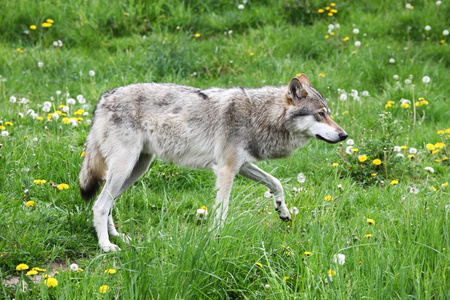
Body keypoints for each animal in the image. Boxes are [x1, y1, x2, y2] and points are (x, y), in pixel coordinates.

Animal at [79, 74, 350, 251]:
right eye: (321, 114)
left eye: (329, 113)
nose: (344, 135)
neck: (258, 116)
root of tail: (102, 100)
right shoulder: (226, 170)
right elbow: (221, 212)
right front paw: (216, 239)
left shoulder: (242, 166)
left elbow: (276, 183)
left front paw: (282, 210)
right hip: (125, 169)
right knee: (100, 204)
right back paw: (106, 246)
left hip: (135, 170)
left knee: (108, 202)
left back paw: (116, 236)